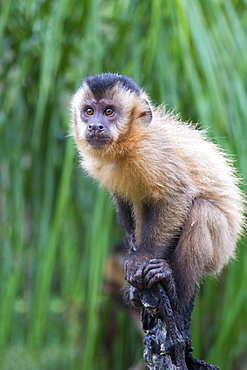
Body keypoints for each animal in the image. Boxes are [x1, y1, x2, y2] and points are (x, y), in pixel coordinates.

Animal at [70, 71, 245, 310]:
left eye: (109, 112)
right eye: (89, 111)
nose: (95, 126)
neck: (127, 142)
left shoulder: (150, 151)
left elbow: (178, 195)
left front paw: (141, 259)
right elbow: (123, 198)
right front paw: (132, 250)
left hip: (222, 250)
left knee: (201, 210)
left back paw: (175, 290)